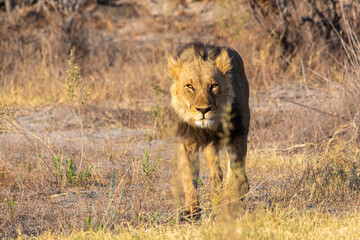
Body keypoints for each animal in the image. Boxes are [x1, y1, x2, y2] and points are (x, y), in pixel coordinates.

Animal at [169, 41, 250, 219]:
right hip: (209, 145)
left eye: (213, 85)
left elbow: (235, 170)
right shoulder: (188, 140)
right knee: (215, 173)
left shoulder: (237, 133)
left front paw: (232, 202)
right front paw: (191, 213)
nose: (203, 110)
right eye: (189, 86)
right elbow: (188, 177)